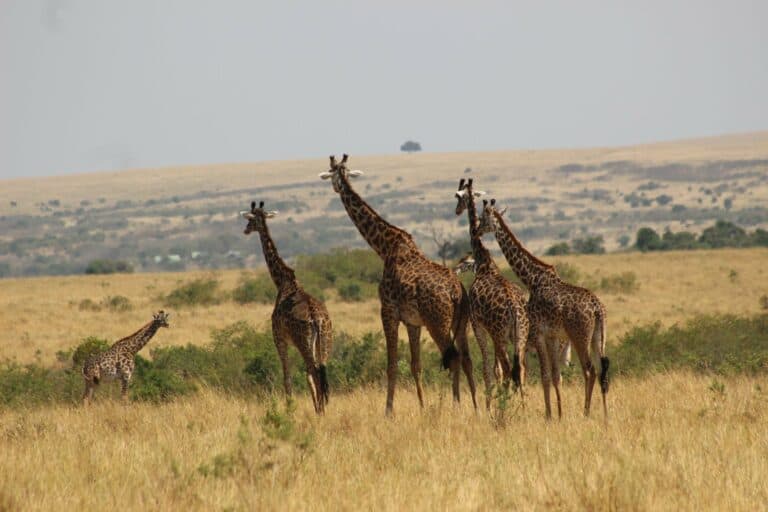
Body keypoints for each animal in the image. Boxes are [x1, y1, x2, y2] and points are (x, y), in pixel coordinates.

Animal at [240, 200, 333, 414]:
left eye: (251, 220)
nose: (245, 230)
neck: (282, 281)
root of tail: (317, 318)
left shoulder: (279, 338)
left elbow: (287, 378)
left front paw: (289, 409)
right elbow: (305, 377)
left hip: (303, 342)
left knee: (315, 371)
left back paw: (321, 412)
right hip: (325, 340)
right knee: (321, 371)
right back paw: (323, 408)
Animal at [319, 154, 477, 415]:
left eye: (331, 172)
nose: (334, 187)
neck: (384, 247)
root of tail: (457, 291)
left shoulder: (388, 311)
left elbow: (392, 364)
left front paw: (388, 411)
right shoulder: (413, 322)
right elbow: (416, 365)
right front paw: (422, 406)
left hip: (438, 323)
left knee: (452, 357)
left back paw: (456, 405)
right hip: (460, 322)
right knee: (466, 358)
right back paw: (475, 405)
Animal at [454, 178, 529, 410]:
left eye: (459, 197)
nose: (457, 211)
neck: (485, 263)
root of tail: (515, 309)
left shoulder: (478, 325)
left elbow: (488, 368)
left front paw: (488, 405)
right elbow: (498, 370)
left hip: (499, 334)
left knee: (508, 369)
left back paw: (505, 408)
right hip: (520, 336)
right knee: (520, 369)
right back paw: (524, 406)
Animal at [478, 199, 610, 420]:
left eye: (482, 218)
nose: (477, 230)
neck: (532, 278)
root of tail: (597, 308)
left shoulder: (540, 333)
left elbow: (545, 376)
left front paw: (549, 415)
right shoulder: (552, 336)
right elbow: (555, 375)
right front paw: (558, 413)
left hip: (579, 336)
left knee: (589, 370)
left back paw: (586, 412)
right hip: (598, 337)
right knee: (602, 370)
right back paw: (606, 415)